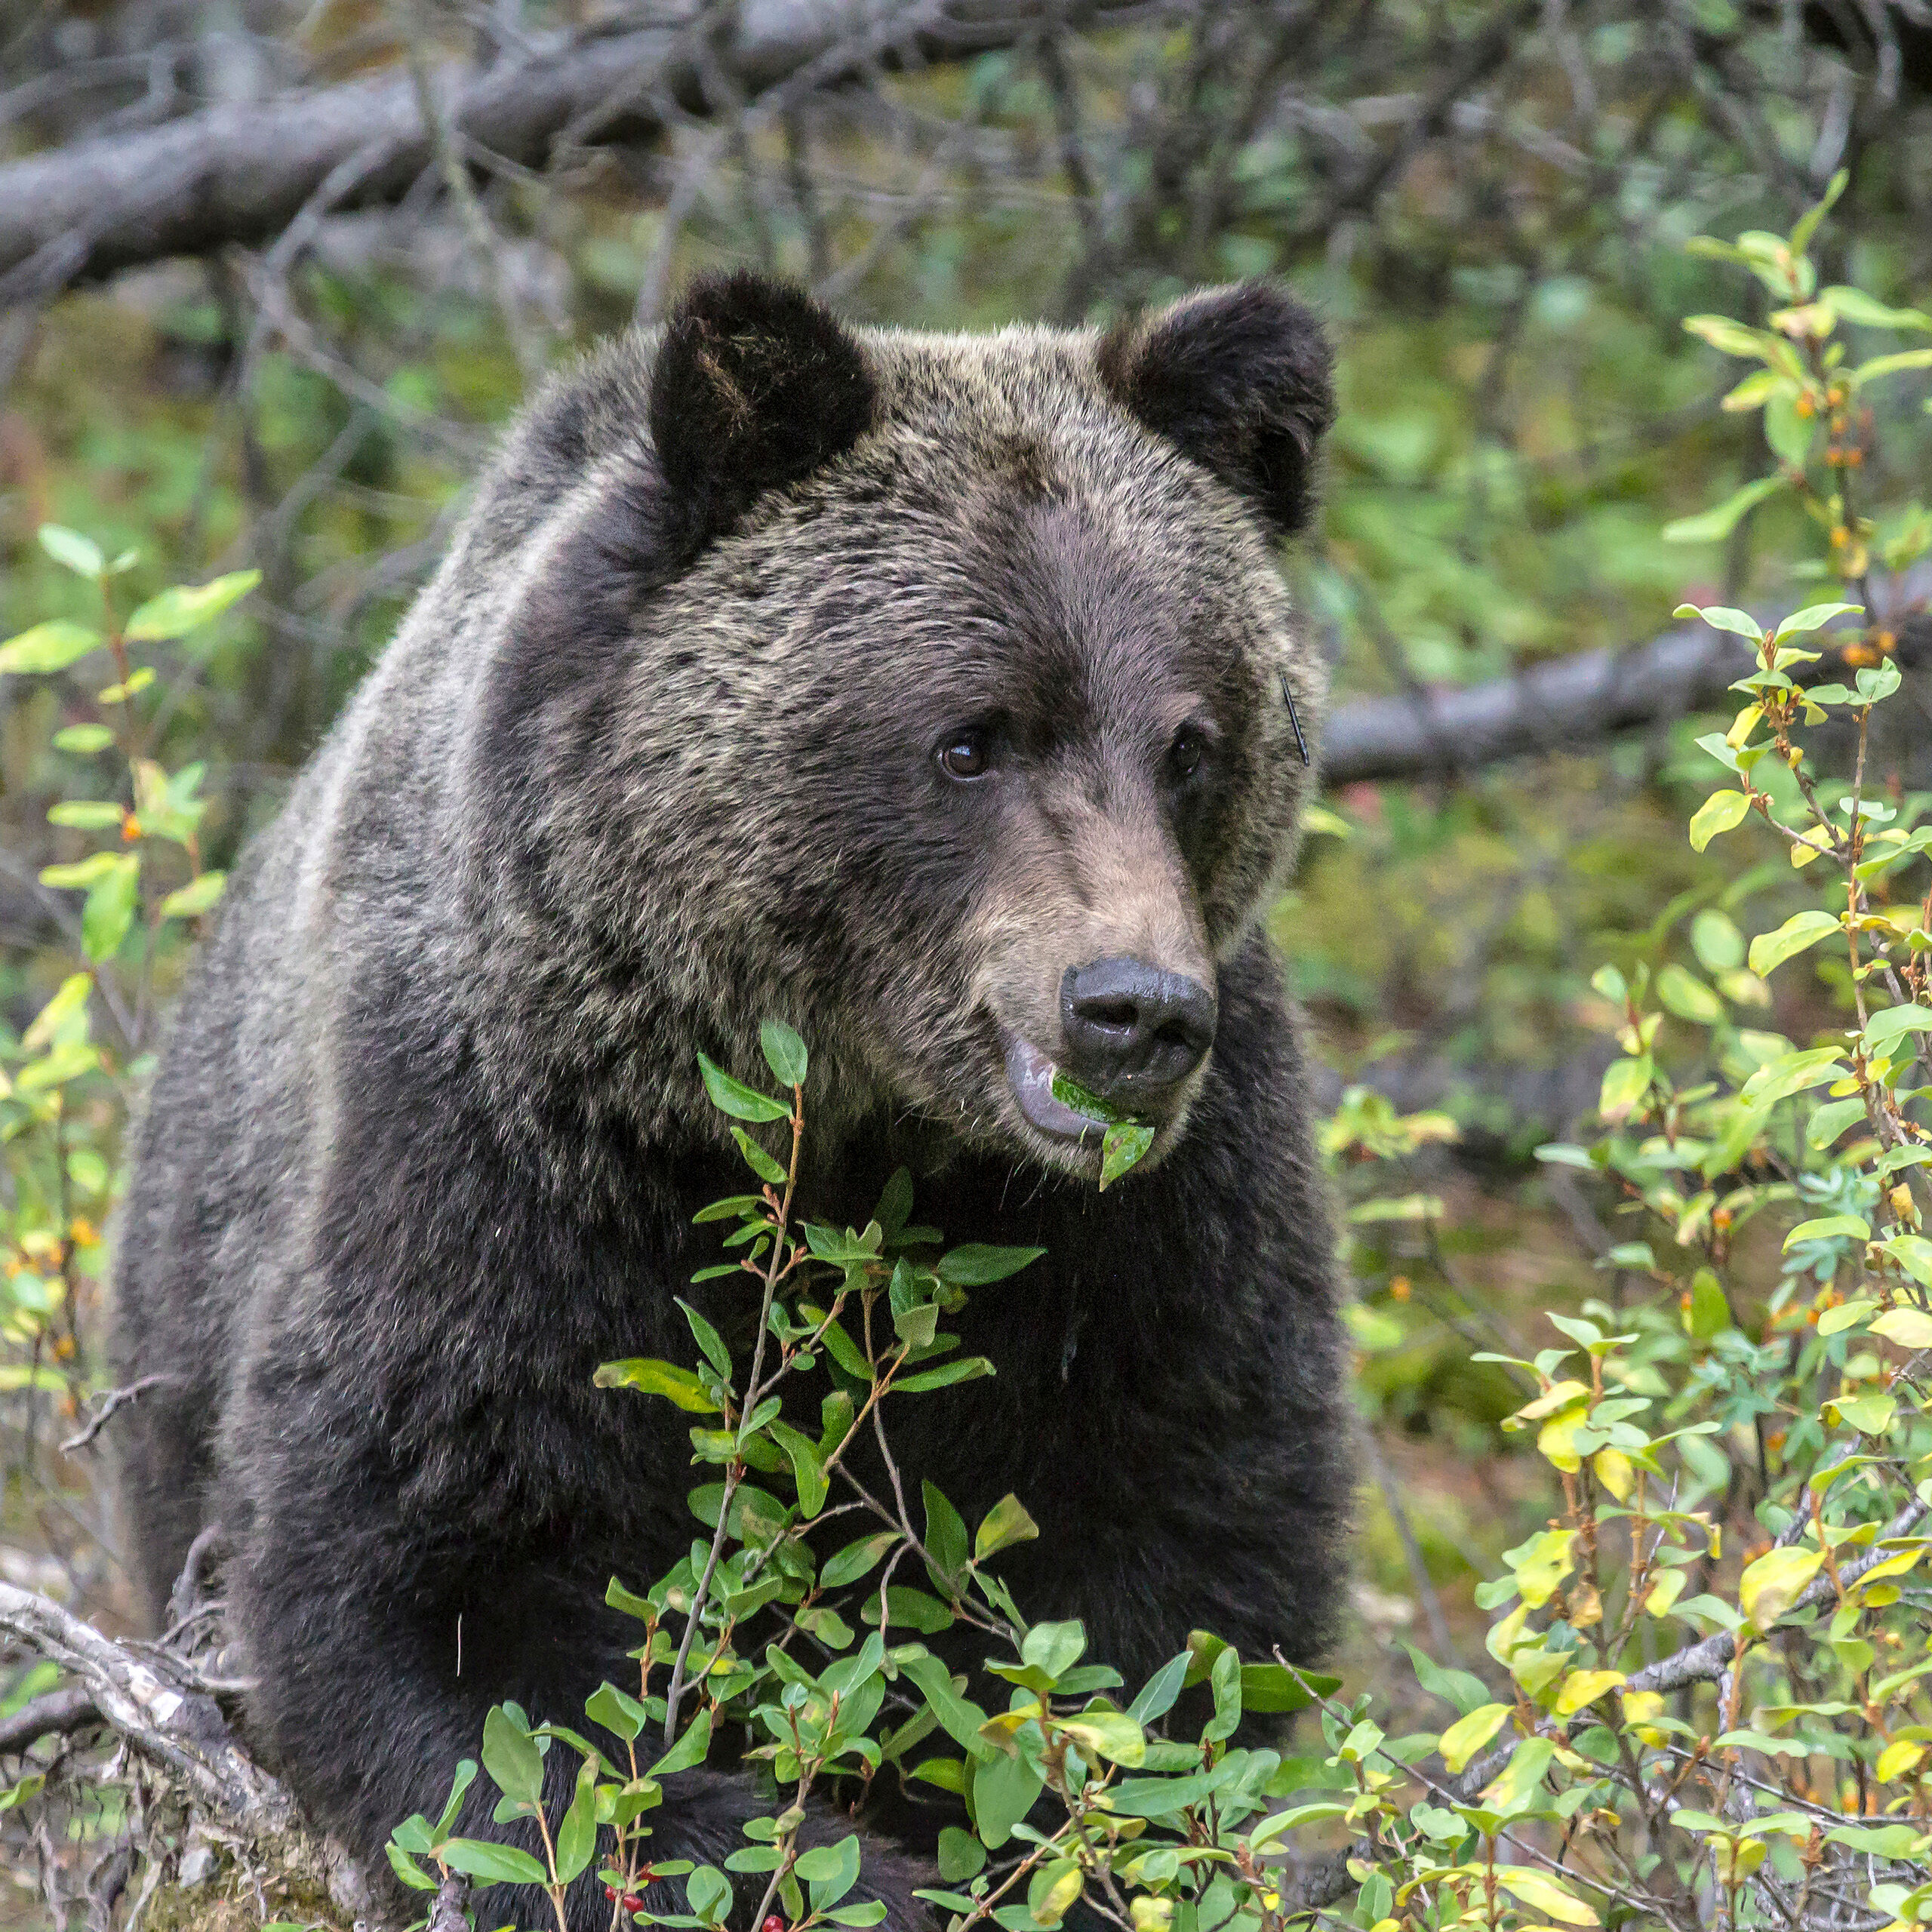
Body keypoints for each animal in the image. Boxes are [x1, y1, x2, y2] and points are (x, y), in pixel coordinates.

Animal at [110, 270, 1353, 1929]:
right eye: (970, 735)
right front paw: (837, 1867)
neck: (862, 1129)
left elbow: (1171, 1580)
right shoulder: (508, 1150)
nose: (1131, 1012)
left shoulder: (1156, 1228)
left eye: (1193, 743)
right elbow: (453, 1612)